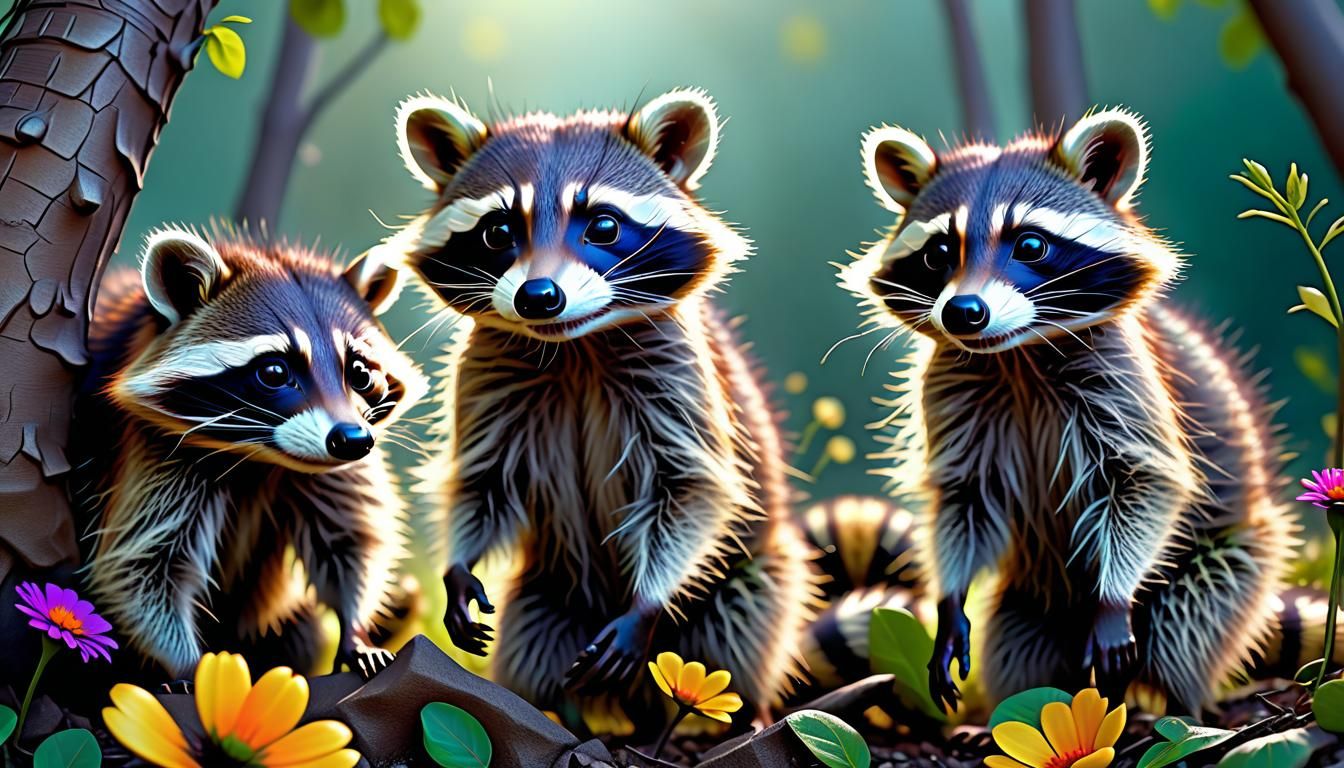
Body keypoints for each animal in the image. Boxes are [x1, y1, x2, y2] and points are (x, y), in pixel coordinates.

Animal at [72, 227, 426, 680]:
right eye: (275, 371)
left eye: (360, 373)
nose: (352, 440)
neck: (261, 458)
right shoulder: (148, 449)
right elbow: (140, 565)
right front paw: (190, 665)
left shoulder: (337, 470)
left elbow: (352, 541)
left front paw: (355, 625)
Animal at [381, 88, 812, 725]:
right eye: (497, 231)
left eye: (604, 225)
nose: (539, 298)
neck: (574, 347)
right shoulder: (488, 374)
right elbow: (481, 480)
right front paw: (459, 565)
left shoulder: (676, 371)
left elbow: (692, 487)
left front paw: (648, 599)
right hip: (546, 591)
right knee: (534, 639)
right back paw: (559, 712)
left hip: (747, 580)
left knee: (744, 619)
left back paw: (736, 713)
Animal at [838, 108, 1298, 713]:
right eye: (938, 254)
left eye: (1030, 244)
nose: (963, 312)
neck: (1016, 356)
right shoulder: (952, 391)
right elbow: (961, 499)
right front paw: (950, 597)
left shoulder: (1124, 379)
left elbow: (1145, 483)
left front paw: (1112, 596)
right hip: (1029, 602)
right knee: (1020, 660)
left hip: (1232, 558)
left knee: (1189, 624)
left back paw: (1182, 708)